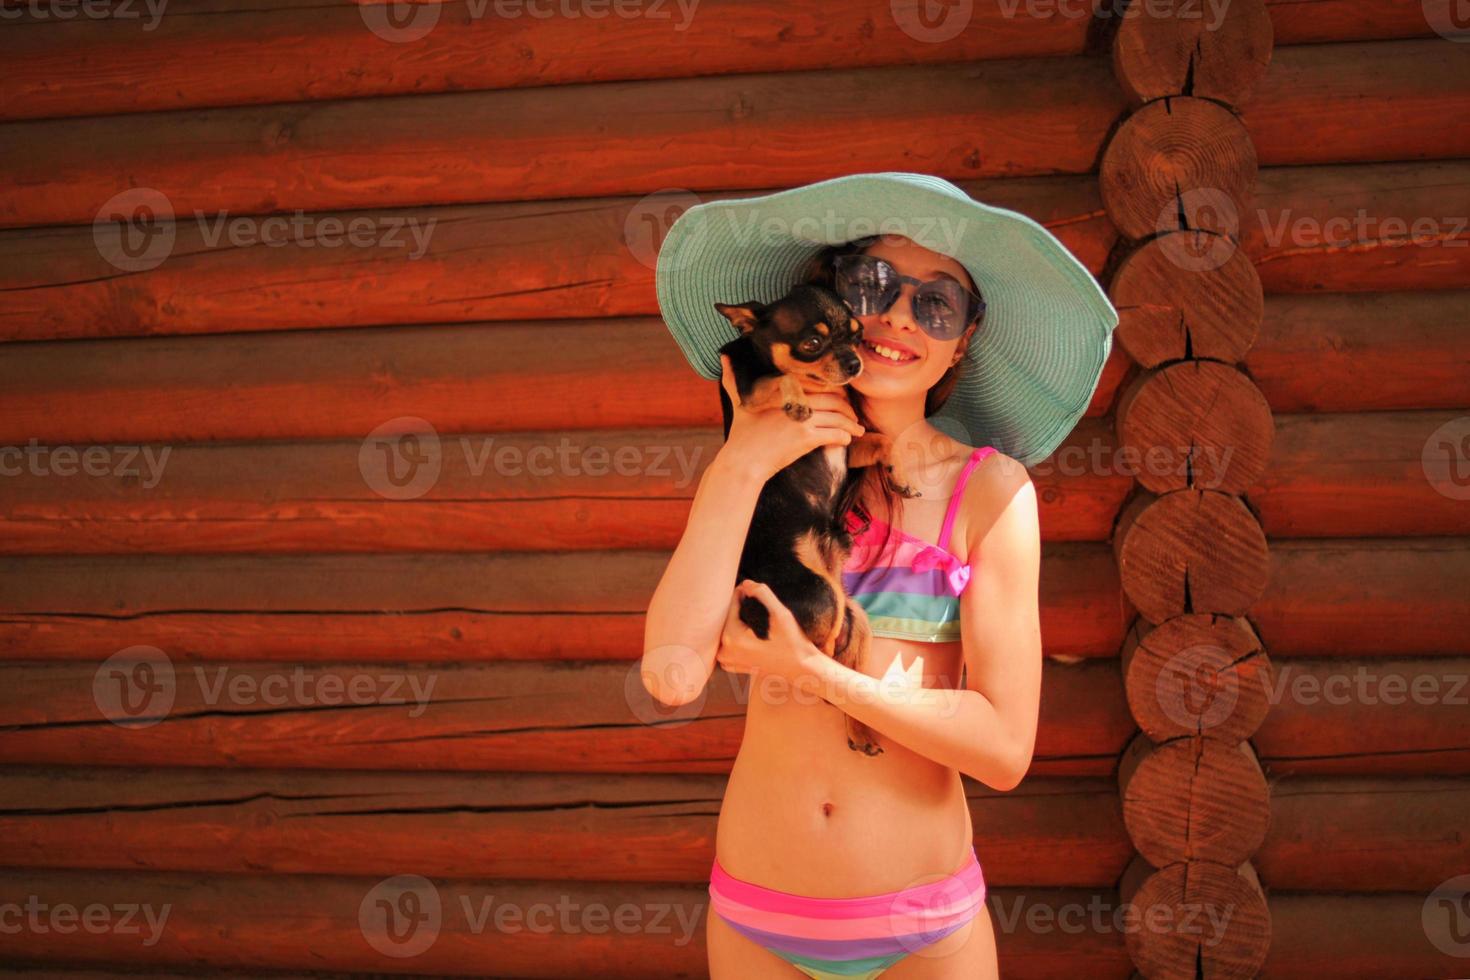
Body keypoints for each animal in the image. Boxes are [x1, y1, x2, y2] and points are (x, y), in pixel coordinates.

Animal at [714, 283, 911, 758]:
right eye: (812, 344)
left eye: (857, 335)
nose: (855, 362)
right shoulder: (750, 393)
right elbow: (778, 379)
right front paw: (795, 400)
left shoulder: (849, 440)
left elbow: (881, 439)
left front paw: (898, 473)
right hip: (817, 595)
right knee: (816, 652)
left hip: (854, 617)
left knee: (842, 666)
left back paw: (861, 732)